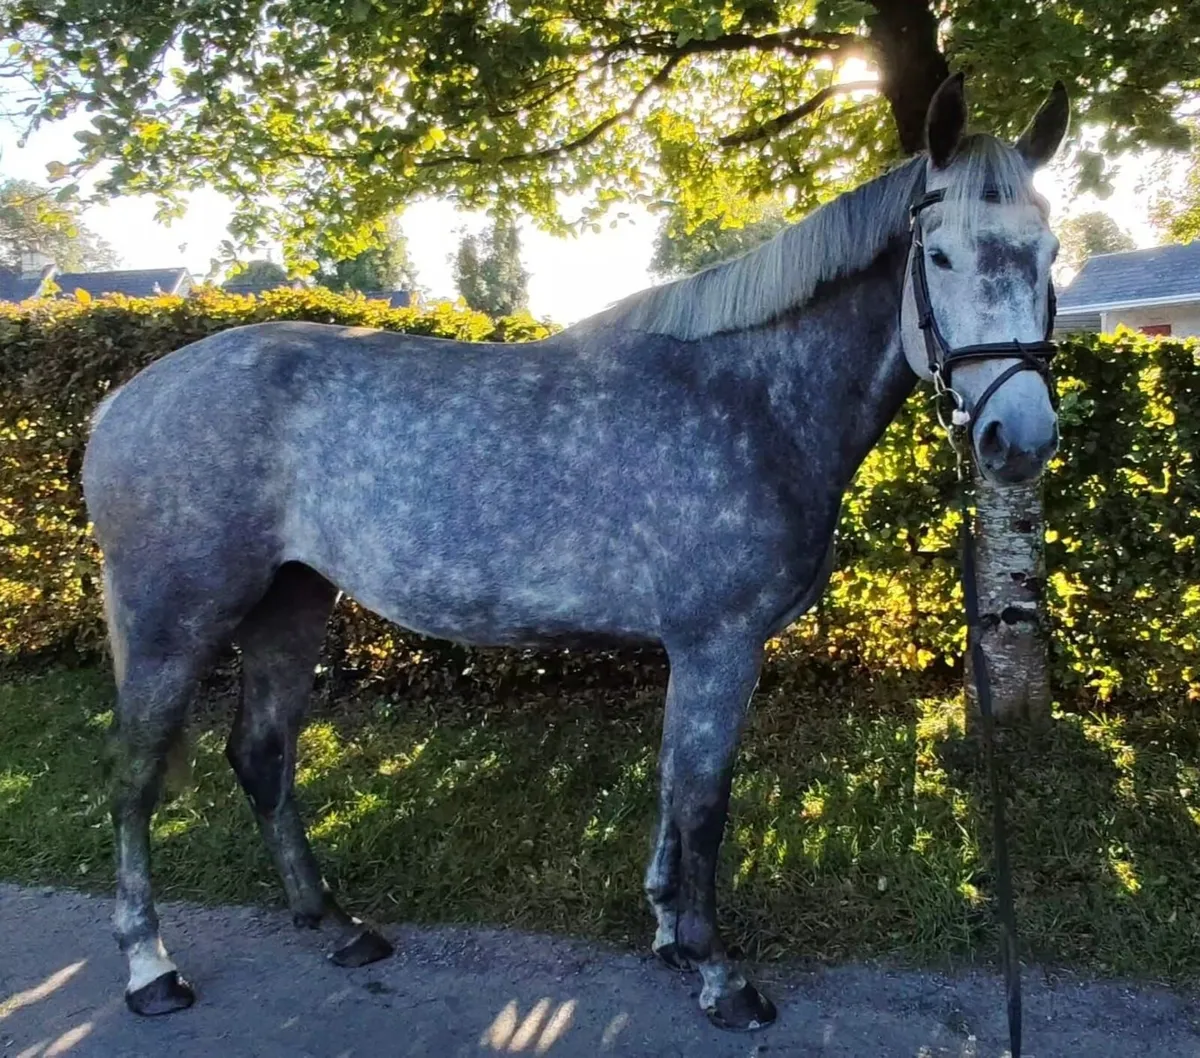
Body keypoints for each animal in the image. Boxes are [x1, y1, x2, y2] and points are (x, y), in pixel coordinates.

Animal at [82, 73, 1068, 1031]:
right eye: (939, 257)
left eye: (1051, 255)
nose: (1017, 438)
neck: (749, 397)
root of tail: (123, 401)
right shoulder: (720, 644)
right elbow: (703, 800)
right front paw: (719, 973)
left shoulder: (694, 650)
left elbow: (672, 786)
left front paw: (669, 933)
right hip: (175, 622)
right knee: (134, 776)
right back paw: (150, 968)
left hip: (290, 602)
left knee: (262, 754)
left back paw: (335, 925)